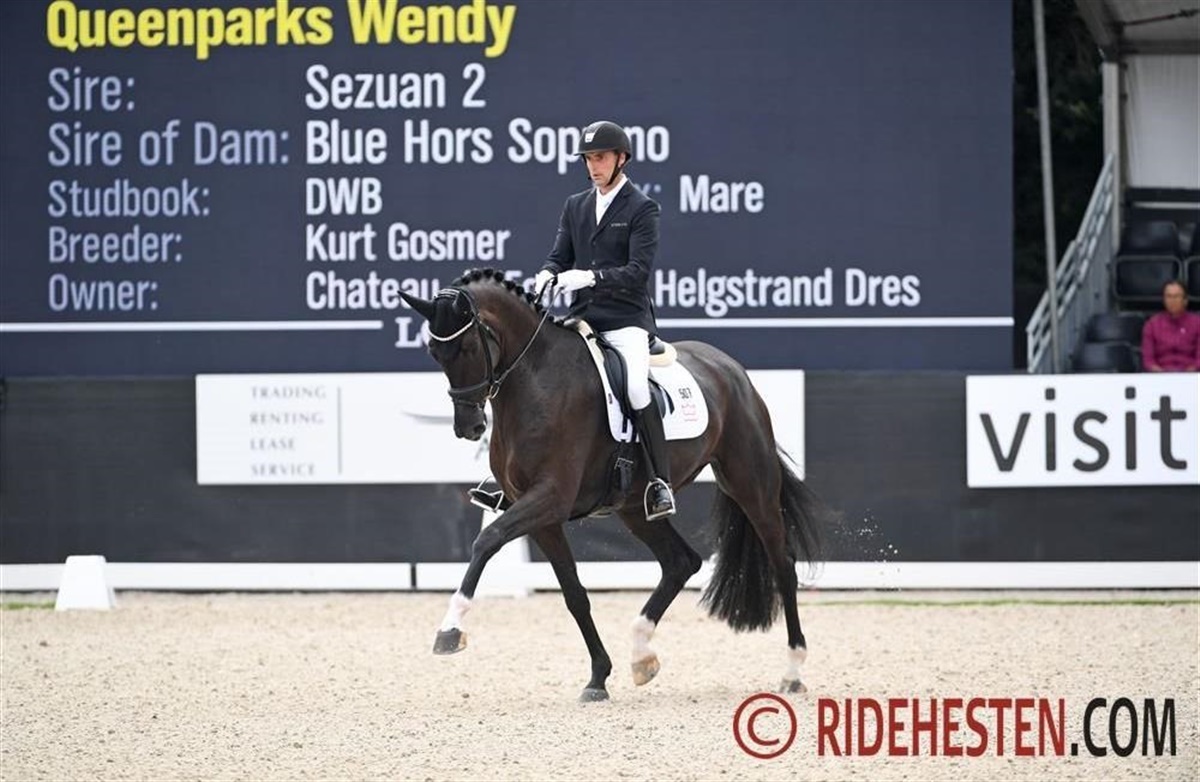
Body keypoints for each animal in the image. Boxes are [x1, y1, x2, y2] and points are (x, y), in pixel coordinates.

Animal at [401, 269, 823, 701]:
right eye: (434, 353)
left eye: (468, 347)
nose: (469, 428)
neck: (537, 378)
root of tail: (731, 369)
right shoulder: (540, 514)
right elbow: (574, 595)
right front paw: (598, 677)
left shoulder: (550, 497)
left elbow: (487, 540)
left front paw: (450, 630)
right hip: (636, 507)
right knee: (680, 562)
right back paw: (642, 655)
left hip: (751, 482)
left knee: (783, 565)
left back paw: (793, 671)